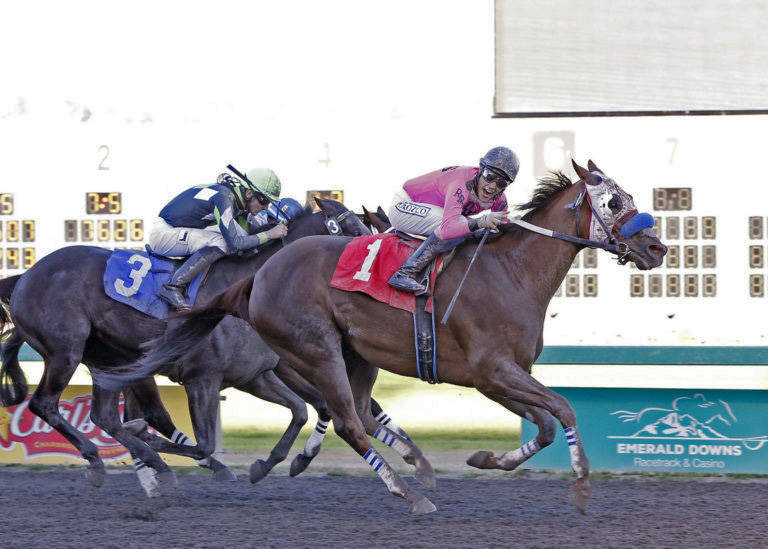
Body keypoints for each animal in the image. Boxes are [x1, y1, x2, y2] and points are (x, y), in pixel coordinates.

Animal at [1, 199, 402, 494]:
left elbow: (304, 410)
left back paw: (147, 464)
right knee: (46, 404)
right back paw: (107, 460)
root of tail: (26, 275)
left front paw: (269, 464)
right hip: (66, 352)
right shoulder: (203, 378)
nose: (371, 276)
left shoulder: (255, 374)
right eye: (354, 230)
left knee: (105, 416)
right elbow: (205, 443)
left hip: (108, 361)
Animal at [94, 161, 664, 512]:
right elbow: (563, 409)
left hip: (357, 354)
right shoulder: (491, 372)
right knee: (347, 418)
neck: (512, 272)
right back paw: (410, 495)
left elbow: (545, 424)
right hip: (315, 349)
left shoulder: (504, 375)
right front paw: (582, 486)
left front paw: (485, 460)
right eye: (614, 202)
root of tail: (260, 273)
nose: (657, 247)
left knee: (359, 414)